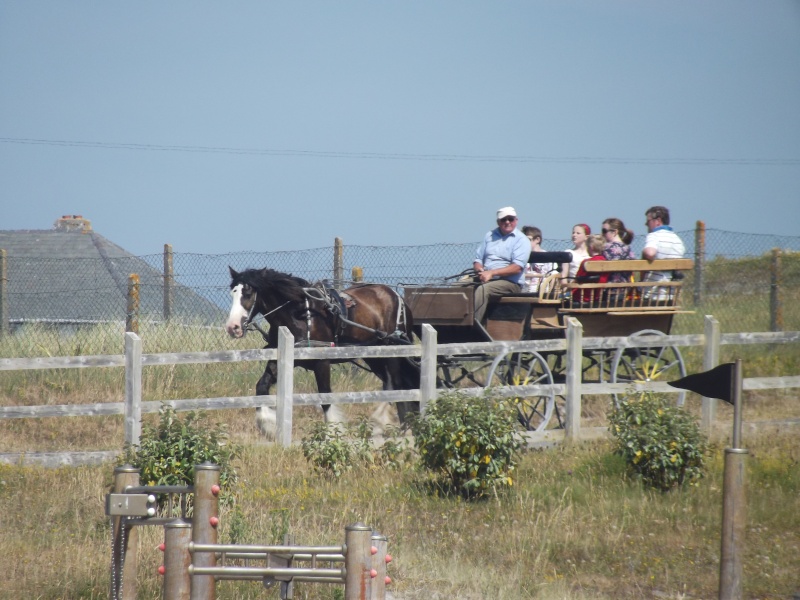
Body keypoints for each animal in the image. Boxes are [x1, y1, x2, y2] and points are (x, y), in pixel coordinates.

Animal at [222, 268, 416, 436]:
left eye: (248, 293)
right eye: (233, 292)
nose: (233, 327)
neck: (302, 316)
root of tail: (396, 296)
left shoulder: (321, 362)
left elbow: (325, 396)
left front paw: (332, 433)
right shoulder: (280, 359)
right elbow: (261, 386)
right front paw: (268, 426)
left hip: (392, 352)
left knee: (397, 386)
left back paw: (398, 427)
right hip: (374, 358)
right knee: (393, 385)